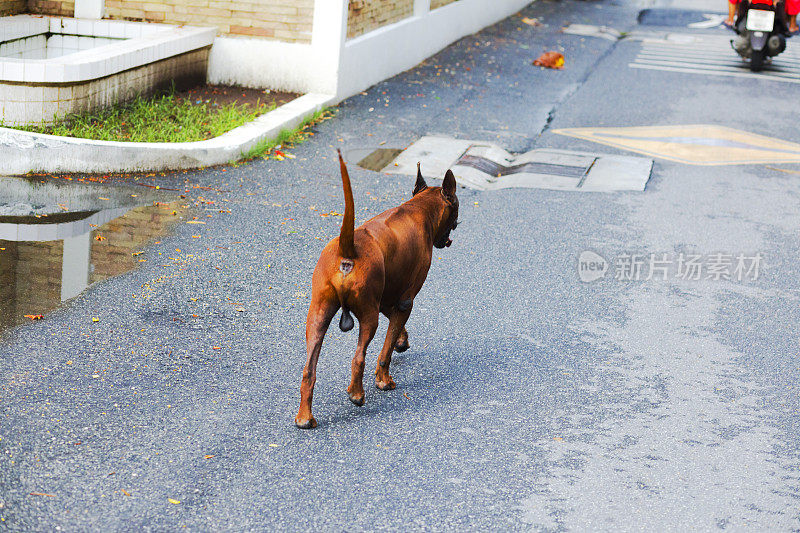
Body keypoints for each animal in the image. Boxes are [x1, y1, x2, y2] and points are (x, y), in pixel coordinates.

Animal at [296, 150, 460, 428]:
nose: (458, 225)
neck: (418, 208)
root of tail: (348, 247)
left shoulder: (387, 296)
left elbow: (394, 328)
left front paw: (402, 340)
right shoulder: (406, 301)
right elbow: (386, 349)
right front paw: (383, 379)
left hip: (318, 315)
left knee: (309, 369)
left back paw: (304, 417)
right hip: (367, 318)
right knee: (358, 357)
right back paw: (357, 394)